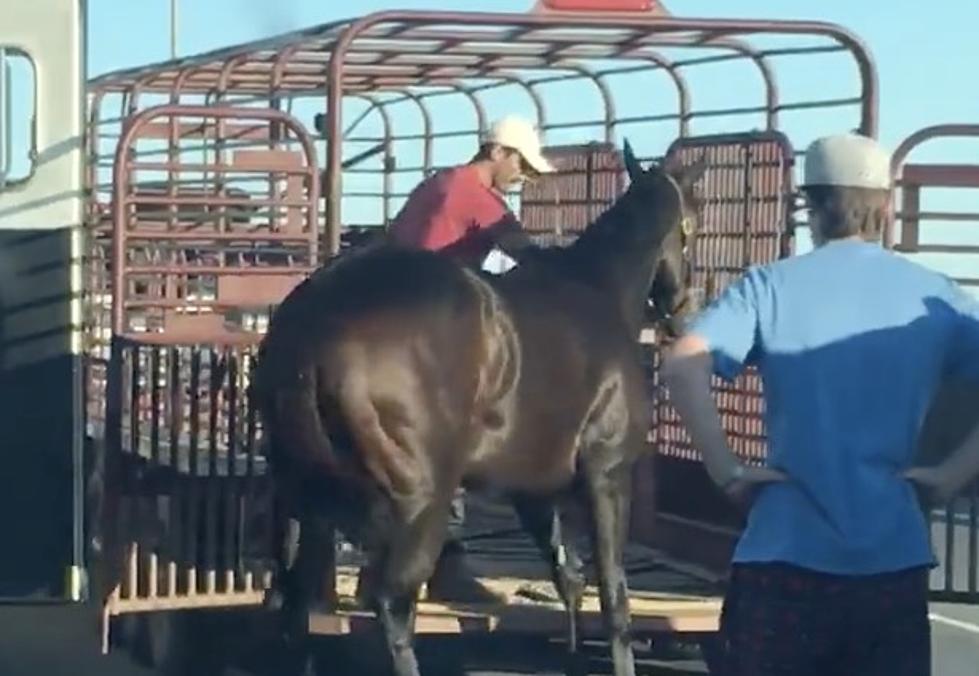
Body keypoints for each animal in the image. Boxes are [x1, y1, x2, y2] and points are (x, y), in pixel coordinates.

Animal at [255, 141, 704, 676]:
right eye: (693, 223)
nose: (683, 308)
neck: (600, 292)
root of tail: (310, 328)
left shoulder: (533, 492)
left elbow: (567, 577)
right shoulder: (607, 475)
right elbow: (614, 596)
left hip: (305, 501)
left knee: (293, 602)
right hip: (417, 500)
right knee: (391, 602)